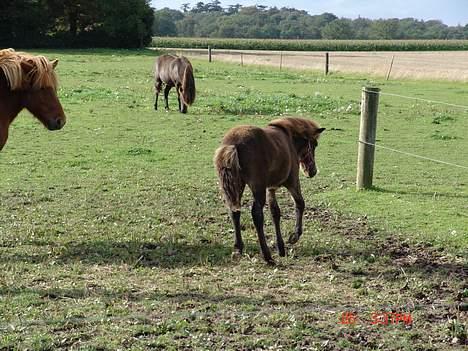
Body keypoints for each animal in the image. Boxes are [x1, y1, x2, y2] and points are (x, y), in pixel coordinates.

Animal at [213, 117, 326, 266]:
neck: (289, 137)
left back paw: (238, 249)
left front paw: (281, 248)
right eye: (314, 145)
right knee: (256, 214)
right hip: (257, 187)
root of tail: (233, 144)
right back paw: (267, 256)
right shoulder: (292, 181)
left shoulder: (270, 188)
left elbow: (275, 213)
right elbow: (300, 203)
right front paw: (294, 237)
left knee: (234, 212)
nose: (312, 171)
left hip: (237, 186)